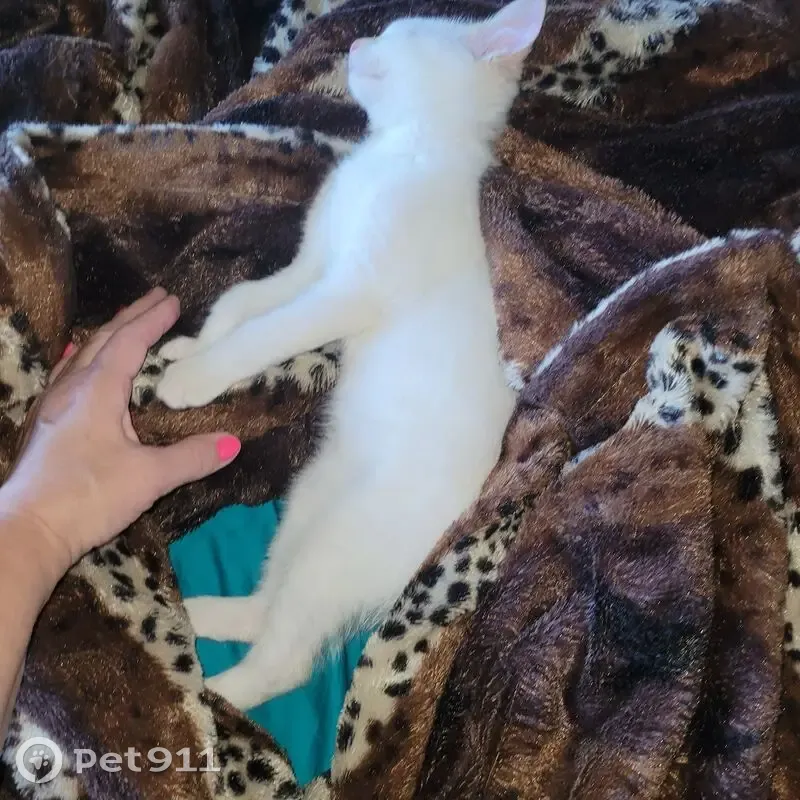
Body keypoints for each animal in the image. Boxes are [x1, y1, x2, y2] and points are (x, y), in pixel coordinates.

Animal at [155, 0, 546, 710]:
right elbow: (242, 304)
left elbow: (263, 333)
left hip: (341, 546)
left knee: (287, 662)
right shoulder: (312, 264)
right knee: (269, 609)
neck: (398, 149)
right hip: (308, 502)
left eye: (401, 32)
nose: (359, 40)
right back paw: (203, 615)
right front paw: (194, 345)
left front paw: (194, 377)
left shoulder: (350, 288)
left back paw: (216, 698)